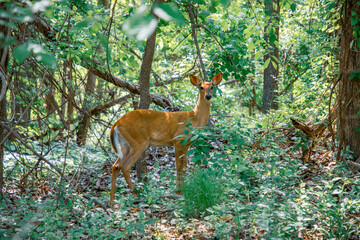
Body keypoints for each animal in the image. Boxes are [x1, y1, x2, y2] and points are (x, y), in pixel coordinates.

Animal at [109, 71, 222, 204]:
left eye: (212, 87)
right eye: (201, 87)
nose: (208, 96)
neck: (194, 119)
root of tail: (116, 124)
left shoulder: (187, 144)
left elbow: (184, 167)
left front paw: (182, 189)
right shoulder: (178, 140)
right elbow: (179, 166)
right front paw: (178, 191)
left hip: (125, 145)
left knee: (115, 166)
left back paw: (112, 201)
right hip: (138, 141)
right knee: (124, 167)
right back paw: (136, 195)